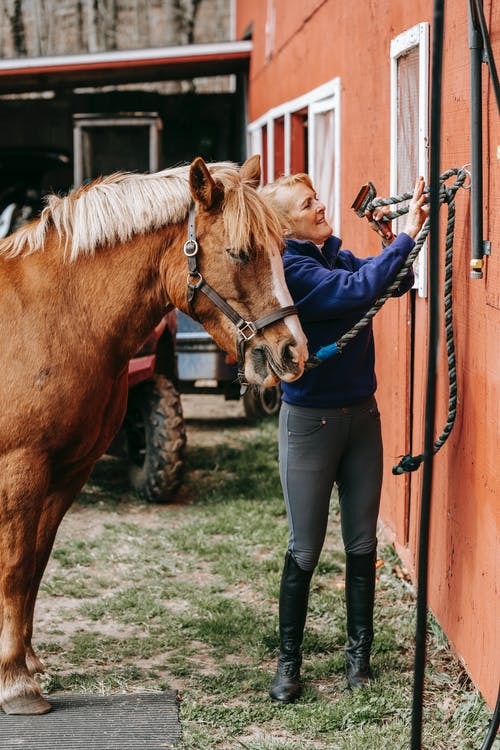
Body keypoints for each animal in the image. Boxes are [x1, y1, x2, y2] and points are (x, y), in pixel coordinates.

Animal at [0, 156, 308, 712]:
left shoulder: (67, 471)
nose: (293, 350)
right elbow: (15, 569)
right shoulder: (21, 466)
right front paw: (15, 682)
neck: (55, 316)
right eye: (240, 252)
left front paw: (28, 664)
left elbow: (36, 564)